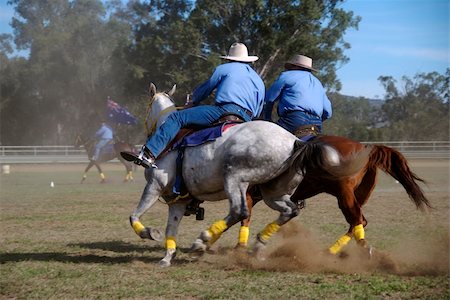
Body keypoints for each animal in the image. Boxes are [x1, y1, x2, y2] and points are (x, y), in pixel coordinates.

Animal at [237, 135, 430, 255]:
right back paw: (332, 251)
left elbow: (244, 216)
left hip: (343, 194)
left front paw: (242, 247)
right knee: (359, 221)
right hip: (358, 194)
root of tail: (366, 148)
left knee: (357, 219)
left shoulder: (248, 194)